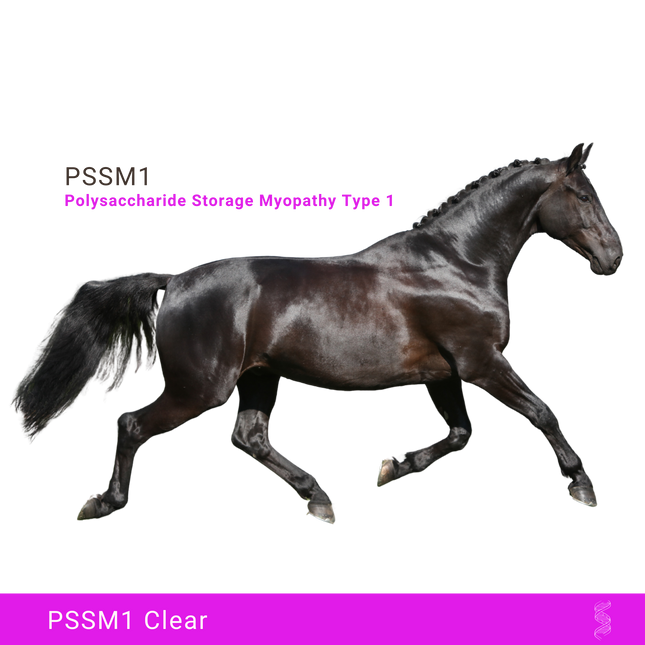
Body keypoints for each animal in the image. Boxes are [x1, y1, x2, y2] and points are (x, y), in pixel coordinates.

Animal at [9, 140, 624, 527]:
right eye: (584, 196)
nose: (615, 257)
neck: (458, 263)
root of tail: (176, 281)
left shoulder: (442, 374)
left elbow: (459, 435)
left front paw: (390, 468)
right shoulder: (481, 361)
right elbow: (543, 411)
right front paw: (585, 490)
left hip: (260, 377)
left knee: (248, 437)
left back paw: (321, 501)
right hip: (199, 387)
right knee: (131, 425)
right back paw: (100, 504)